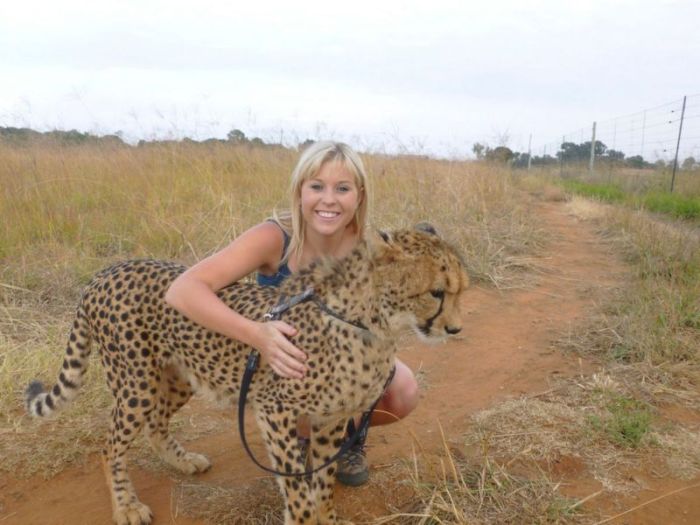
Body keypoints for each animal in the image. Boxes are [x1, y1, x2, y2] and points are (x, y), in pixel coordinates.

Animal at [24, 225, 470, 524]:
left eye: (460, 291)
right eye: (436, 292)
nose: (455, 329)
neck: (369, 324)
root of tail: (107, 271)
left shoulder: (329, 419)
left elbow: (322, 480)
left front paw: (326, 515)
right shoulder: (274, 410)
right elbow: (298, 488)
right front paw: (304, 517)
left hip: (178, 376)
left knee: (155, 424)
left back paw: (183, 461)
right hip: (137, 383)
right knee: (110, 446)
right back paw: (127, 506)